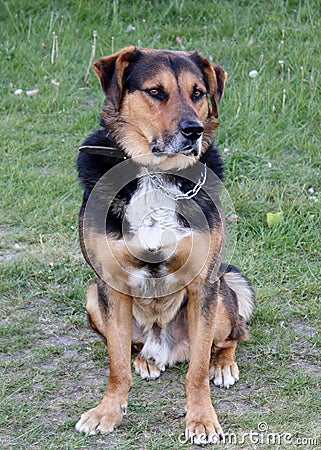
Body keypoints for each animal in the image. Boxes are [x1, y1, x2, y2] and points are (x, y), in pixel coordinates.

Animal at [75, 47, 252, 444]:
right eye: (156, 92)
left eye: (198, 93)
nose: (194, 130)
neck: (156, 173)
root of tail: (168, 348)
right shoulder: (110, 284)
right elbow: (116, 366)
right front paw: (109, 411)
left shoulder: (203, 285)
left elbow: (197, 371)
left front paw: (202, 419)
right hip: (93, 297)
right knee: (133, 346)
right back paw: (146, 360)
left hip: (222, 298)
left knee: (233, 335)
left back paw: (223, 365)